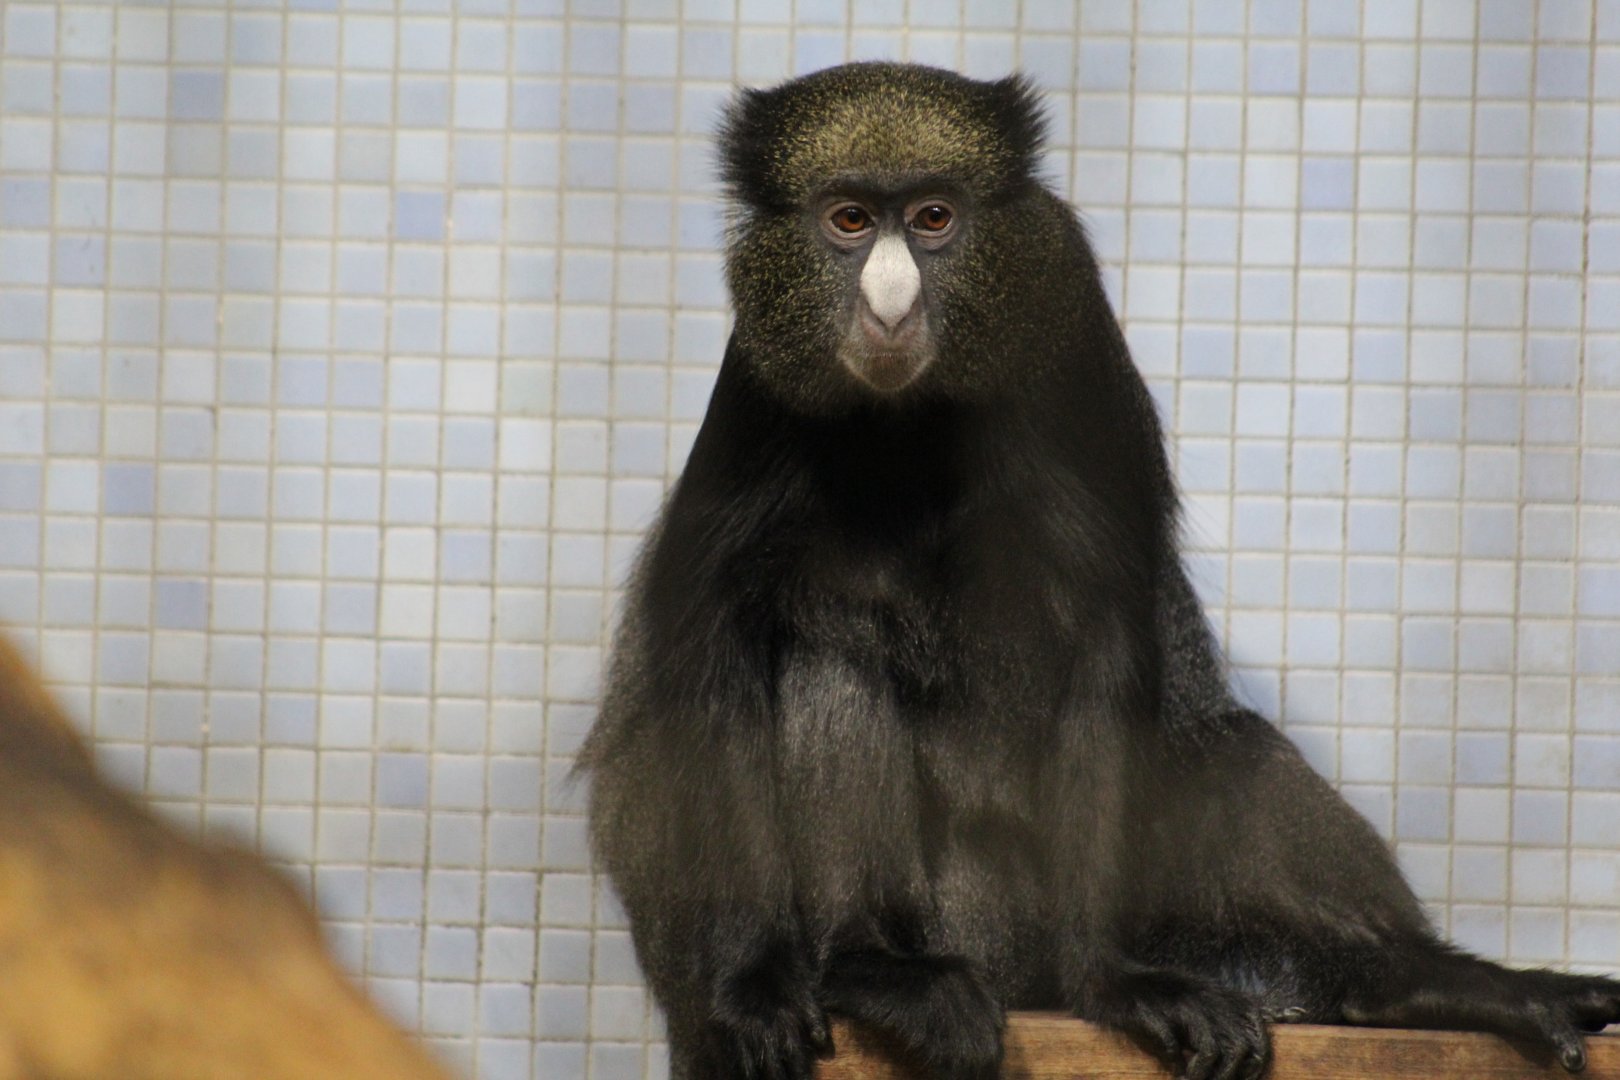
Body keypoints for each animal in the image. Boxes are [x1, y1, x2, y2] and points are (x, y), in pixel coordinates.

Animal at [581, 62, 1620, 1080]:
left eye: (934, 219)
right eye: (847, 221)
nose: (889, 301)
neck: (913, 424)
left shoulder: (1072, 337)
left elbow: (1108, 636)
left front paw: (1115, 983)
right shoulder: (759, 384)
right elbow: (711, 645)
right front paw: (754, 984)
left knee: (1232, 751)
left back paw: (1398, 984)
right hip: (961, 915)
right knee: (827, 657)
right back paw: (876, 965)